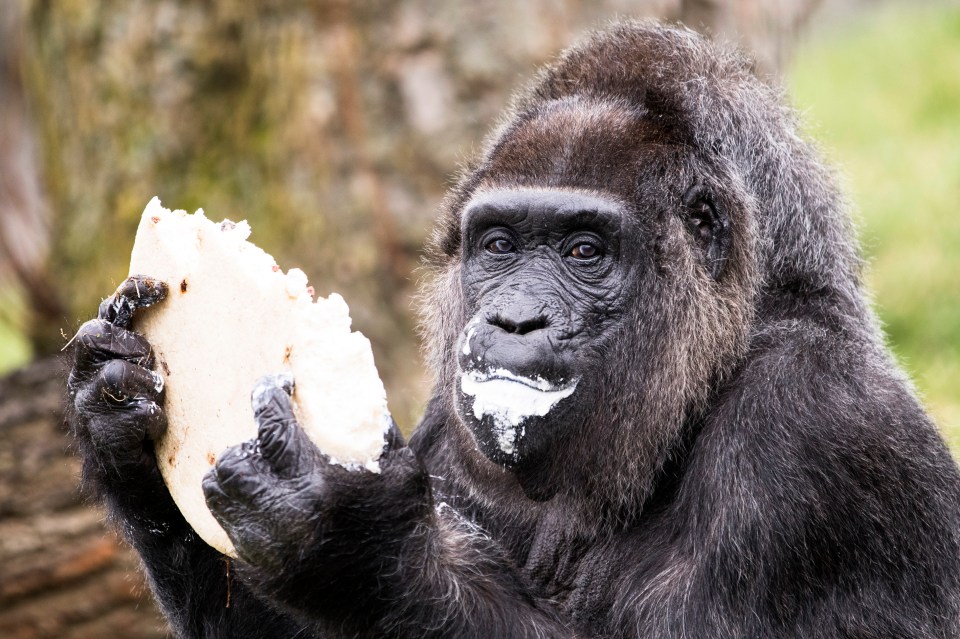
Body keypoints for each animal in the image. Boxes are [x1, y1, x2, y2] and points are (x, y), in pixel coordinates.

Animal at [67, 20, 960, 639]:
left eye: (582, 250)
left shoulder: (815, 426)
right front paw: (117, 419)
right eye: (499, 245)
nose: (515, 316)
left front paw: (352, 538)